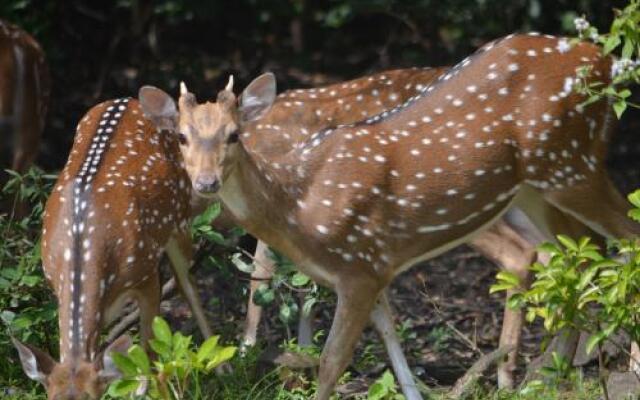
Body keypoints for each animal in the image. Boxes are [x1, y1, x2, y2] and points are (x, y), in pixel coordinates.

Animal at [11, 97, 212, 400]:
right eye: (50, 397)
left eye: (91, 398)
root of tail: (128, 100)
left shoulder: (146, 277)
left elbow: (150, 357)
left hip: (180, 217)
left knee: (188, 284)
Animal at [140, 32, 640, 398]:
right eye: (181, 137)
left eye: (233, 135)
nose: (206, 183)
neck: (297, 208)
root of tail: (606, 60)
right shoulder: (374, 267)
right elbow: (395, 351)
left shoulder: (359, 268)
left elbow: (331, 361)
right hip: (537, 186)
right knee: (578, 253)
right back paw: (547, 375)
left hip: (570, 163)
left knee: (622, 238)